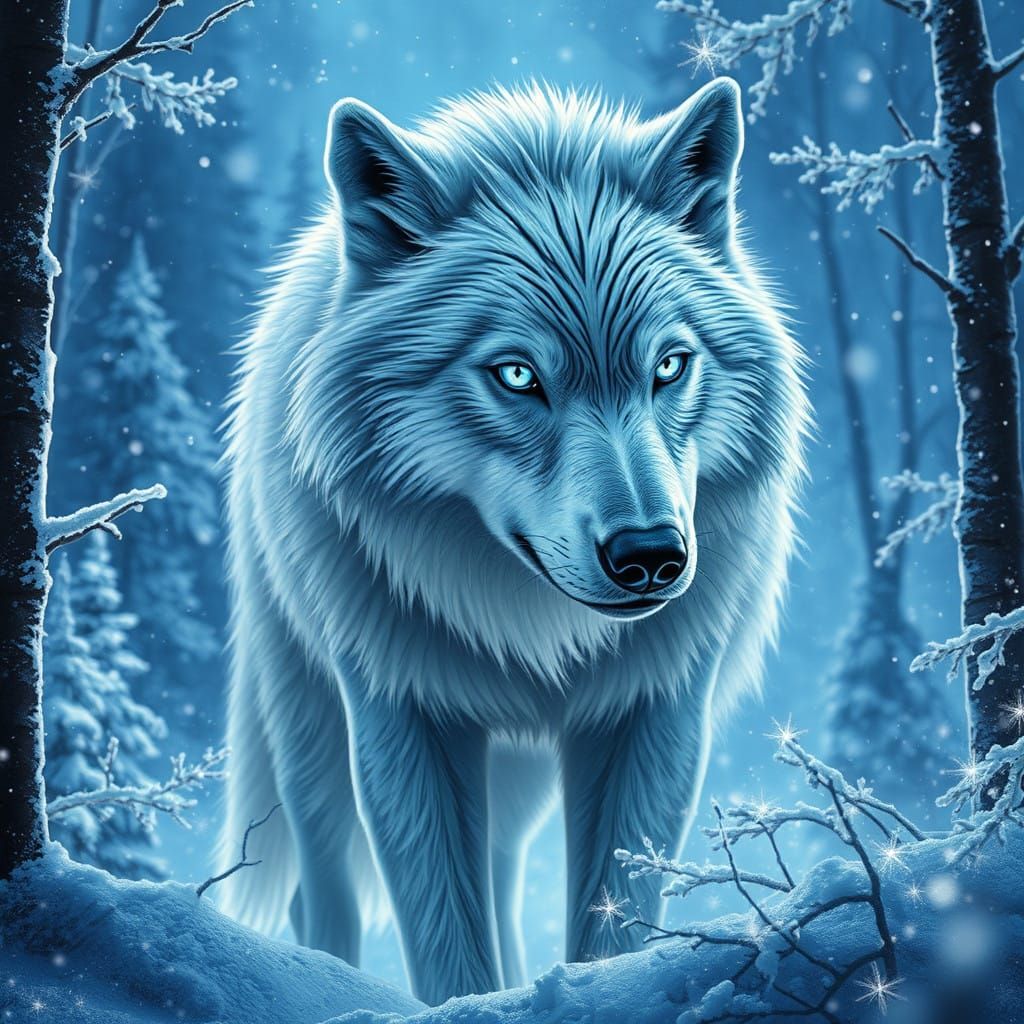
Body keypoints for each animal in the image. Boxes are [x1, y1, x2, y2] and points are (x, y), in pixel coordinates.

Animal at [217, 78, 808, 1005]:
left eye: (669, 367)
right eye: (519, 375)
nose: (651, 556)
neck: (536, 637)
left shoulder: (653, 711)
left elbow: (614, 914)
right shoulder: (401, 712)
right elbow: (440, 932)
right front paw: (459, 1004)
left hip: (516, 777)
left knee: (496, 865)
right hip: (306, 726)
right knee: (325, 889)